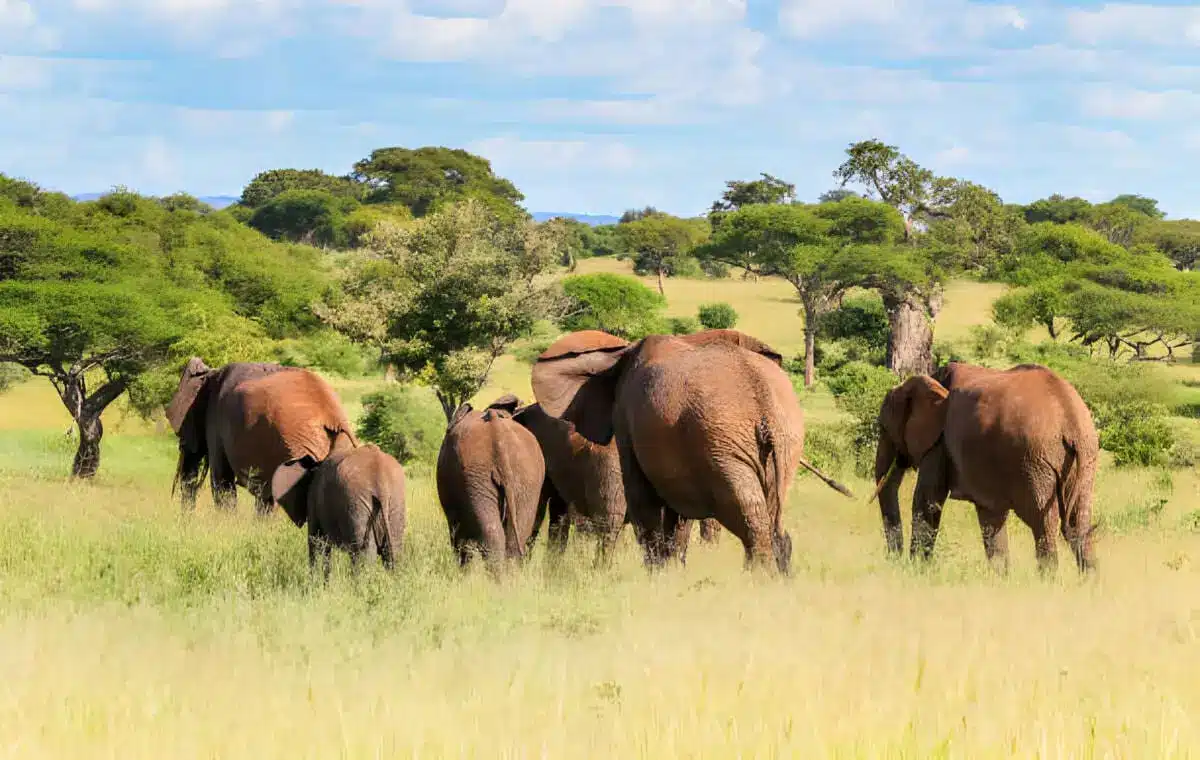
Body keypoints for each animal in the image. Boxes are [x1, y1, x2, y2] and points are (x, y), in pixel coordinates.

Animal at [532, 328, 854, 571]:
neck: (619, 356)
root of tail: (764, 405)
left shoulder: (627, 421)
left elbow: (644, 499)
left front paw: (658, 575)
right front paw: (673, 570)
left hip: (723, 441)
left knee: (749, 517)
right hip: (785, 443)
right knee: (772, 518)